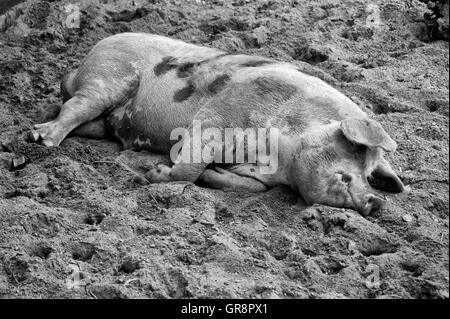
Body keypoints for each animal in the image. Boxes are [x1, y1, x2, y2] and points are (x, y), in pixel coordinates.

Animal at [29, 32, 406, 216]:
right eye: (355, 150)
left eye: (372, 173)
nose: (376, 202)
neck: (281, 156)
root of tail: (96, 49)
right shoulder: (216, 117)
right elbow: (190, 164)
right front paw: (156, 173)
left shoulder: (261, 173)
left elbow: (251, 188)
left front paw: (212, 176)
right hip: (109, 75)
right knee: (75, 106)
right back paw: (40, 138)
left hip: (106, 112)